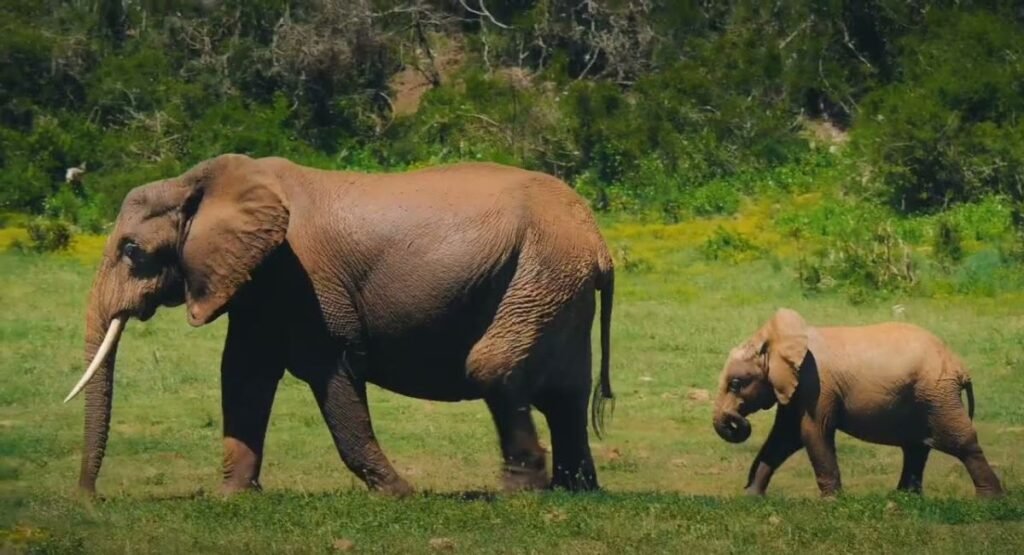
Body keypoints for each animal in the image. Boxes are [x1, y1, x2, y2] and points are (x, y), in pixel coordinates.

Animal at [64, 153, 615, 496]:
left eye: (132, 251)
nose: (91, 497)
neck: (198, 180)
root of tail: (598, 241)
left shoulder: (301, 279)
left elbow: (326, 368)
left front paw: (399, 494)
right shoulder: (262, 283)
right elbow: (243, 373)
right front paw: (232, 496)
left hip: (541, 271)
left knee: (494, 368)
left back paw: (521, 491)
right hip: (556, 284)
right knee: (565, 392)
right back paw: (574, 489)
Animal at [712, 308, 1004, 498]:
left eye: (736, 383)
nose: (738, 420)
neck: (774, 339)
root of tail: (960, 367)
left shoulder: (815, 384)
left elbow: (813, 433)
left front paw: (831, 502)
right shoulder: (793, 388)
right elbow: (784, 437)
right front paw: (752, 498)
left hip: (937, 393)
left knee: (960, 442)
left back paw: (991, 500)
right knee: (917, 446)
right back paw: (904, 499)